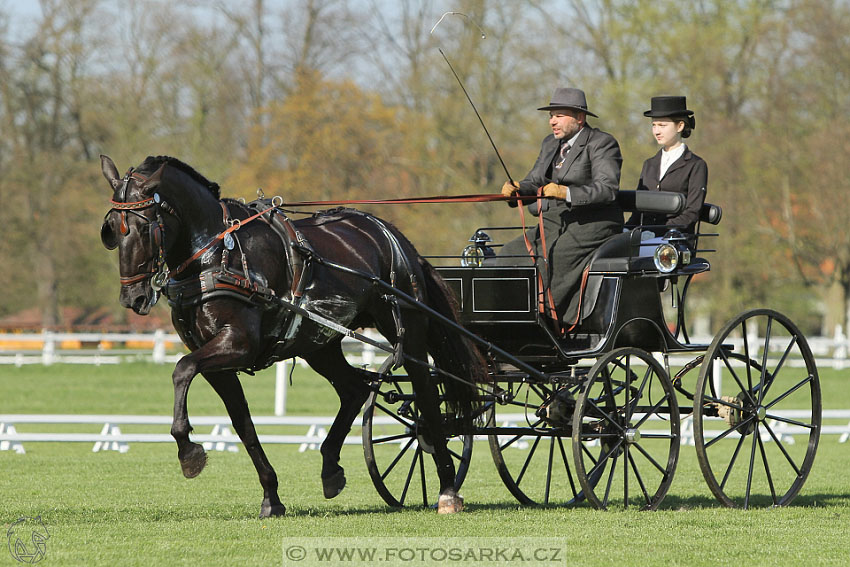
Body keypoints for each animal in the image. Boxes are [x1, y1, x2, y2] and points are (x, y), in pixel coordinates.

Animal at [99, 155, 484, 520]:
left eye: (145, 227)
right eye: (112, 230)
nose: (132, 299)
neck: (215, 254)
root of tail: (397, 239)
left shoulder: (238, 344)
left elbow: (181, 369)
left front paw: (188, 451)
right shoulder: (216, 360)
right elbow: (242, 423)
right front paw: (271, 496)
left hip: (406, 327)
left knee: (426, 395)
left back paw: (447, 488)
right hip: (319, 343)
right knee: (354, 389)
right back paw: (330, 467)